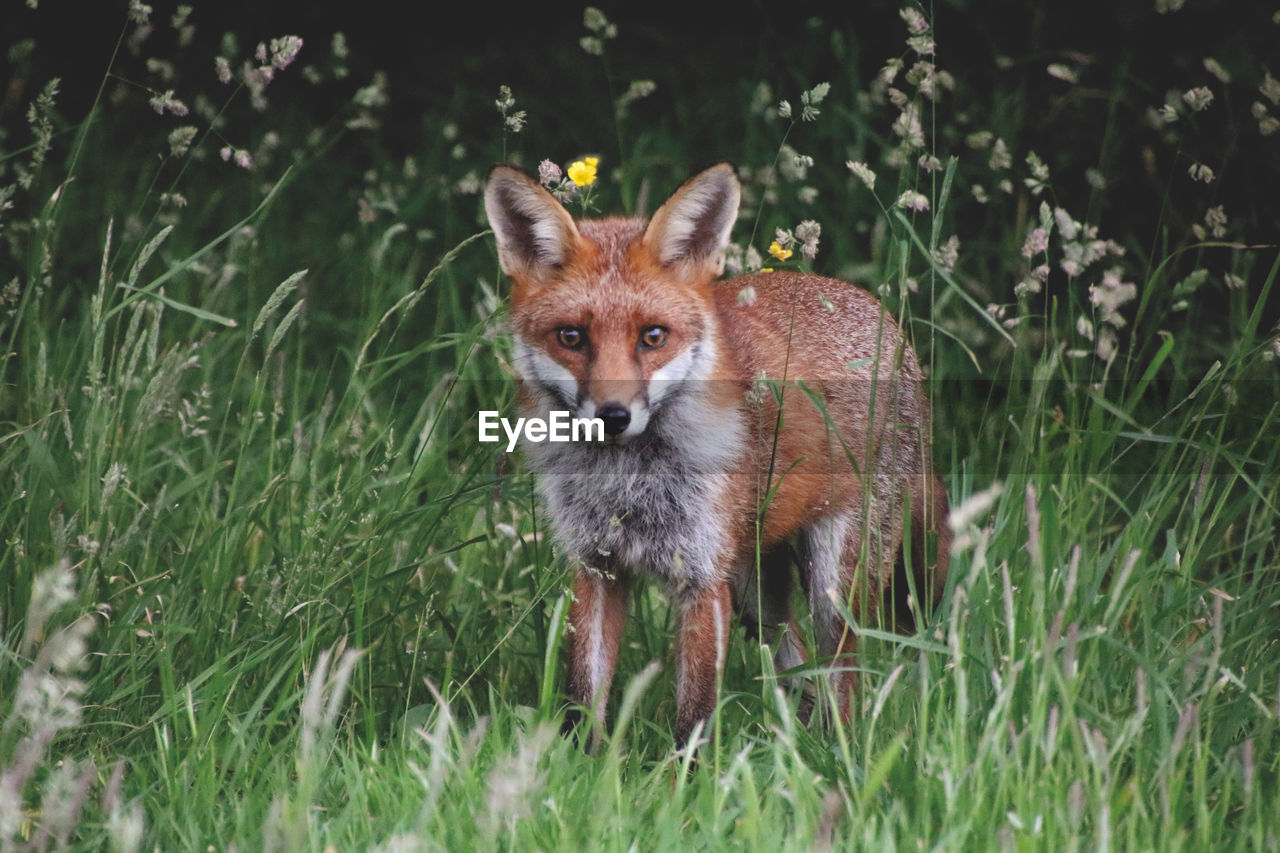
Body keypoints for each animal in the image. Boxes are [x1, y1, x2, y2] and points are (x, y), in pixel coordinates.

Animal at [481, 159, 952, 742]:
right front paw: (578, 760)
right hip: (754, 590)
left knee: (842, 678)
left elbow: (696, 714)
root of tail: (881, 316)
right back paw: (797, 746)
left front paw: (686, 769)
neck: (628, 482)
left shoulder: (702, 580)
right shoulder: (596, 567)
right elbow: (583, 697)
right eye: (571, 337)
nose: (612, 416)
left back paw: (835, 750)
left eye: (653, 336)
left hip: (830, 583)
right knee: (797, 663)